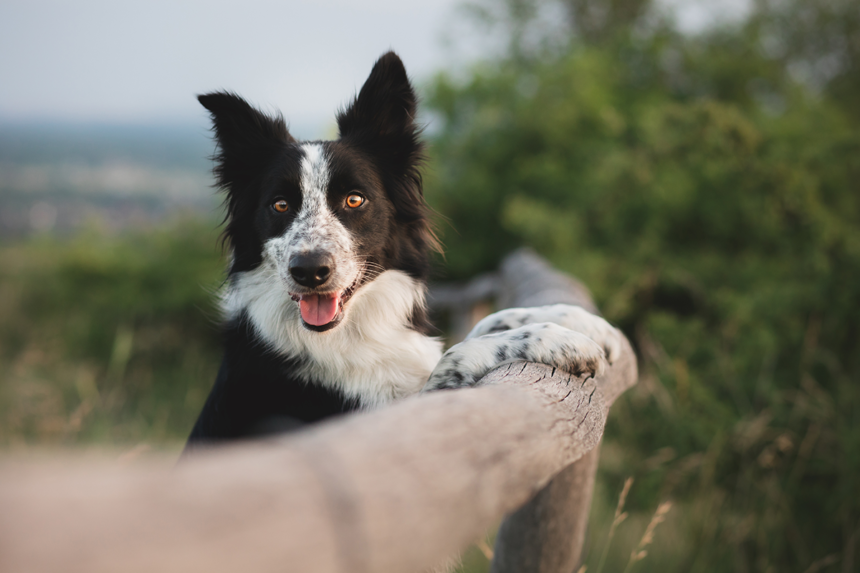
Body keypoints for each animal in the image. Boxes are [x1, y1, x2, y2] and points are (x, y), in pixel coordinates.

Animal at [185, 51, 620, 450]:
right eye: (279, 205)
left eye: (355, 199)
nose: (308, 271)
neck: (350, 332)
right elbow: (456, 354)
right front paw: (560, 342)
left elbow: (486, 321)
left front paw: (580, 321)